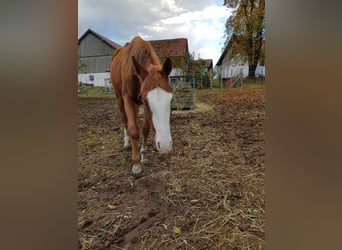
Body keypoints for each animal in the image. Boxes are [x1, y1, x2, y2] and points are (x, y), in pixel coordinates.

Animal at [110, 36, 174, 178]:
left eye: (172, 100)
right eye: (145, 102)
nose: (165, 145)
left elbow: (145, 129)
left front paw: (143, 154)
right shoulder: (129, 99)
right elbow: (133, 129)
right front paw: (136, 164)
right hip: (119, 99)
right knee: (124, 121)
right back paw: (126, 142)